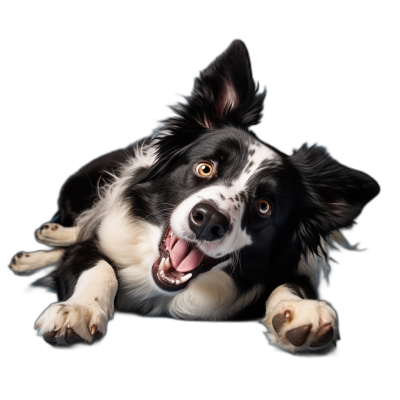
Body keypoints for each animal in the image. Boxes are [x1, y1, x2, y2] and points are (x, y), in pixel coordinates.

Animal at [8, 39, 378, 354]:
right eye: (204, 168)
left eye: (264, 206)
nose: (208, 221)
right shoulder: (99, 242)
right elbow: (95, 263)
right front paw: (79, 309)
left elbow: (290, 284)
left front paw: (300, 312)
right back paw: (46, 241)